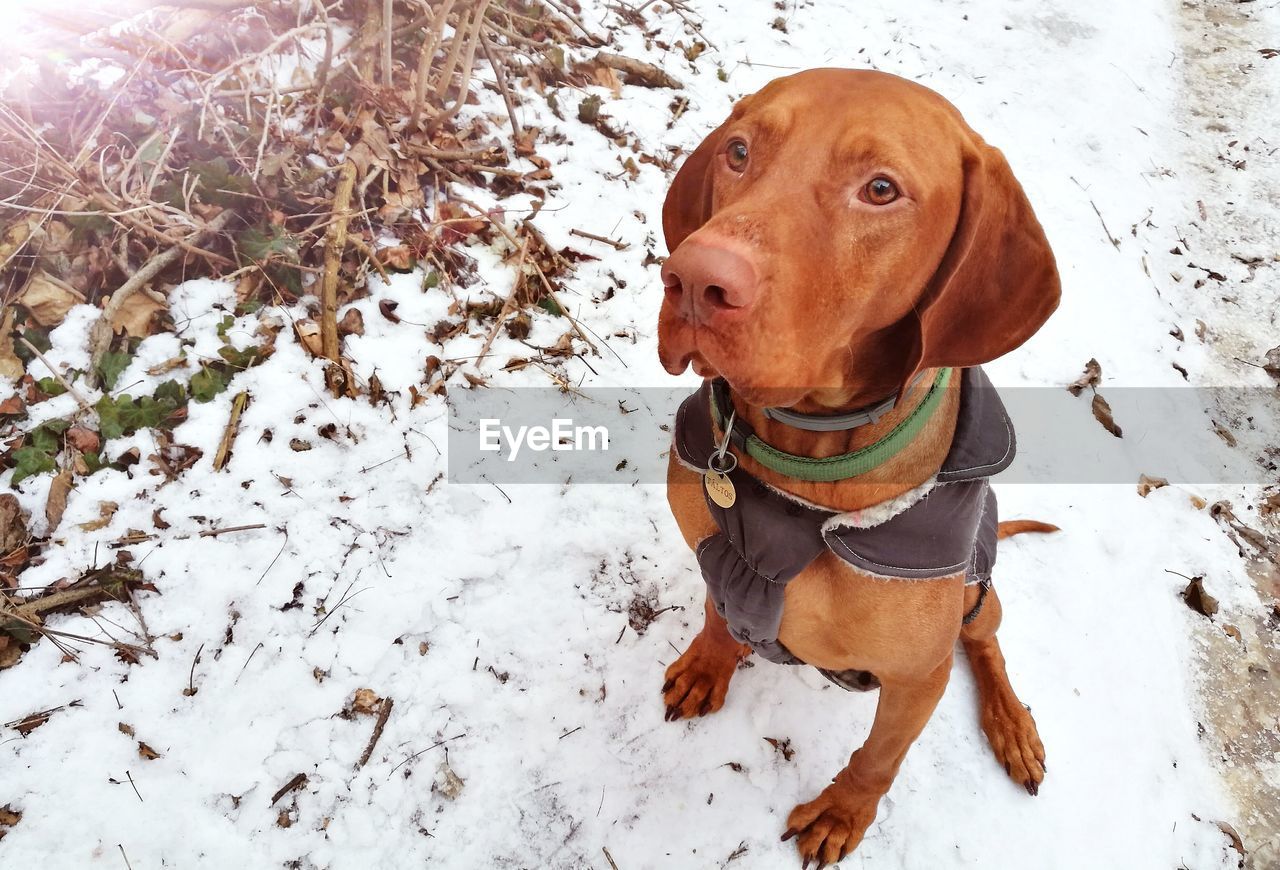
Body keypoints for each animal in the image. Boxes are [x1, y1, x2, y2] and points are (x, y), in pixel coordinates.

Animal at [660, 67, 1059, 864]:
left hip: (978, 593)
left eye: (880, 190)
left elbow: (879, 758)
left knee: (986, 641)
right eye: (740, 152)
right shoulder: (714, 555)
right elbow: (721, 614)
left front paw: (842, 812)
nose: (692, 279)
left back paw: (1011, 724)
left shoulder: (917, 677)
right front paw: (708, 664)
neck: (806, 465)